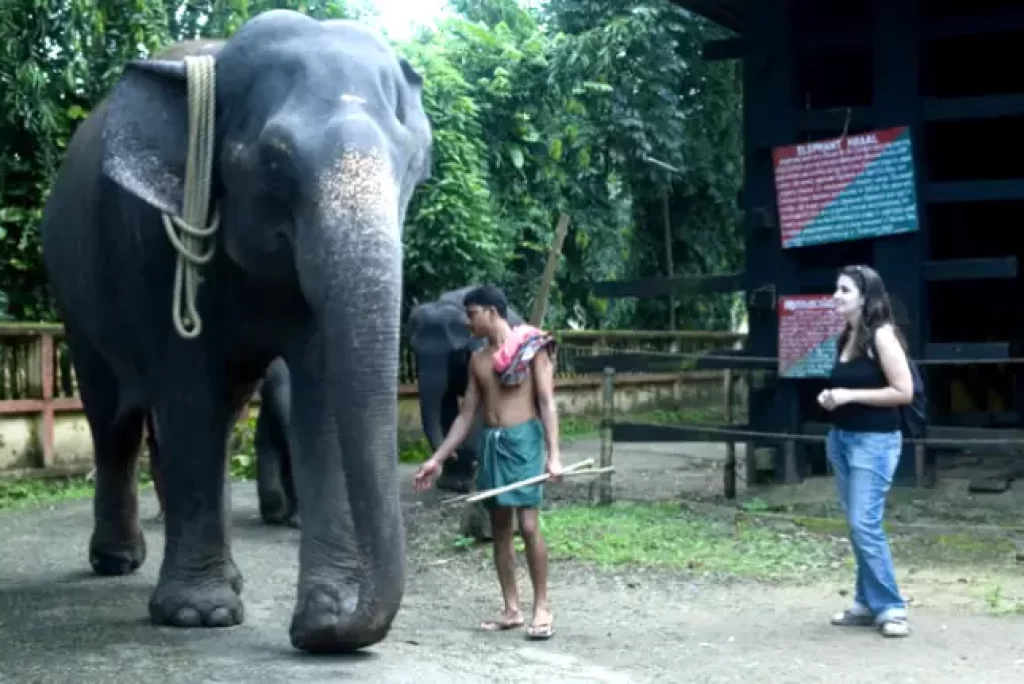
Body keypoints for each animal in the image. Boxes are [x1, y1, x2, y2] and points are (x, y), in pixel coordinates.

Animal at [37, 9, 432, 651]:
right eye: (274, 160)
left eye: (411, 164)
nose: (320, 630)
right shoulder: (157, 246)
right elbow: (189, 387)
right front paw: (199, 616)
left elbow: (318, 398)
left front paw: (323, 611)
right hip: (76, 299)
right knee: (115, 420)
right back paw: (119, 562)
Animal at [403, 286, 524, 491]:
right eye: (414, 351)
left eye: (454, 352)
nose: (453, 454)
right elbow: (446, 403)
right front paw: (450, 481)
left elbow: (477, 404)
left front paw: (463, 482)